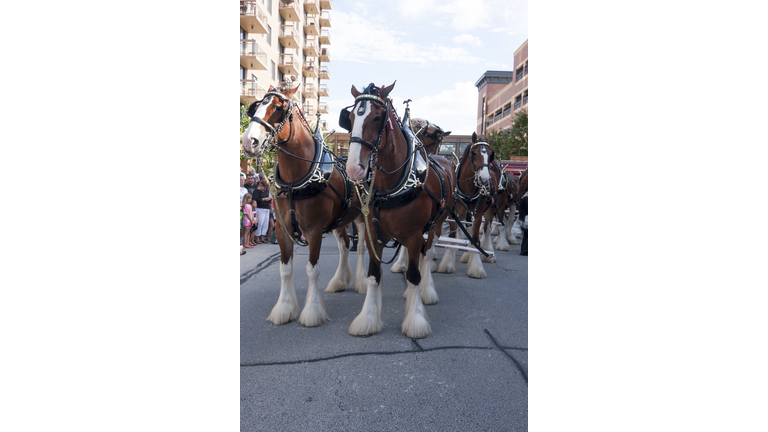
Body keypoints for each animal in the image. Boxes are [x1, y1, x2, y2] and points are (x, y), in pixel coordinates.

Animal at [243, 84, 368, 328]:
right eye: (256, 106)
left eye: (279, 107)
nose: (248, 141)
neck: (296, 180)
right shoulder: (282, 229)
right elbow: (285, 269)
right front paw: (284, 308)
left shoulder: (314, 230)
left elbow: (312, 270)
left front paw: (312, 311)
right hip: (340, 221)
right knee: (344, 246)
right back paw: (340, 280)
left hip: (361, 218)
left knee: (360, 247)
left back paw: (361, 282)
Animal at [344, 82, 456, 340]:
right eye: (351, 117)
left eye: (377, 117)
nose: (354, 169)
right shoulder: (373, 234)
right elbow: (374, 276)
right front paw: (368, 319)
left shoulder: (415, 234)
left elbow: (414, 275)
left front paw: (415, 321)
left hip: (436, 224)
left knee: (427, 253)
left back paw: (426, 291)